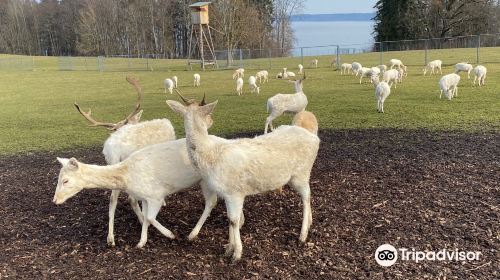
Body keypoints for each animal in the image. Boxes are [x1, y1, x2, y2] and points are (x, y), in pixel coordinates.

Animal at [73, 76, 177, 245]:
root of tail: (114, 149)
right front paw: (163, 201)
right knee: (130, 198)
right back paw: (143, 221)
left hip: (114, 165)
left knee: (112, 198)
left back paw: (111, 238)